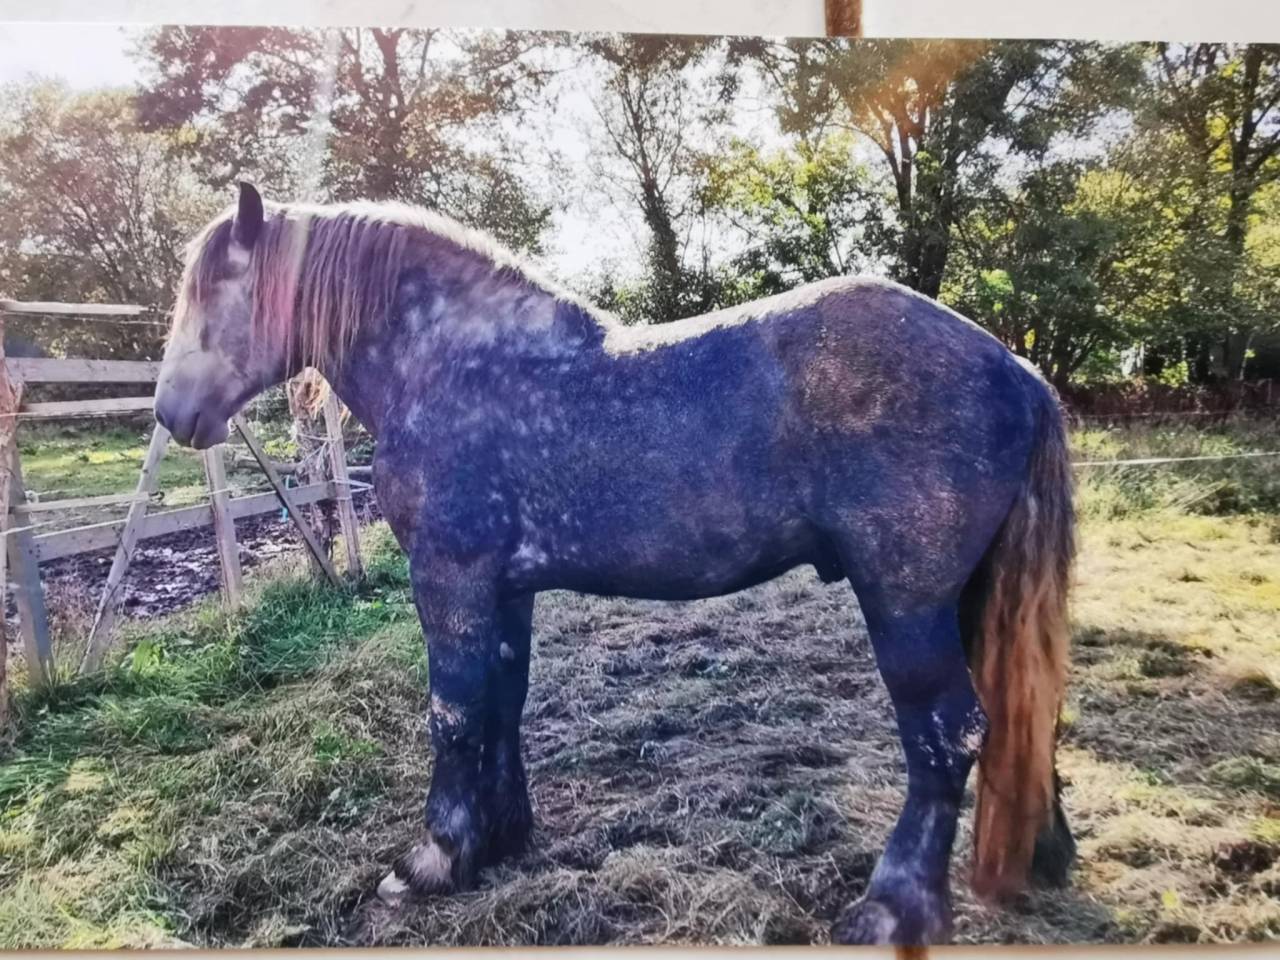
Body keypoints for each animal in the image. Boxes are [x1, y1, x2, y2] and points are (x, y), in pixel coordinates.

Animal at [154, 182, 1076, 946]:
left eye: (213, 292)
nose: (170, 411)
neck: (452, 363)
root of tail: (1015, 367)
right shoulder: (505, 589)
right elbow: (503, 702)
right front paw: (501, 838)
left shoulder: (450, 579)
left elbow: (453, 712)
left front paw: (435, 858)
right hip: (964, 599)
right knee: (1017, 709)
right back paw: (1041, 854)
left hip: (906, 604)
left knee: (946, 736)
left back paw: (893, 907)